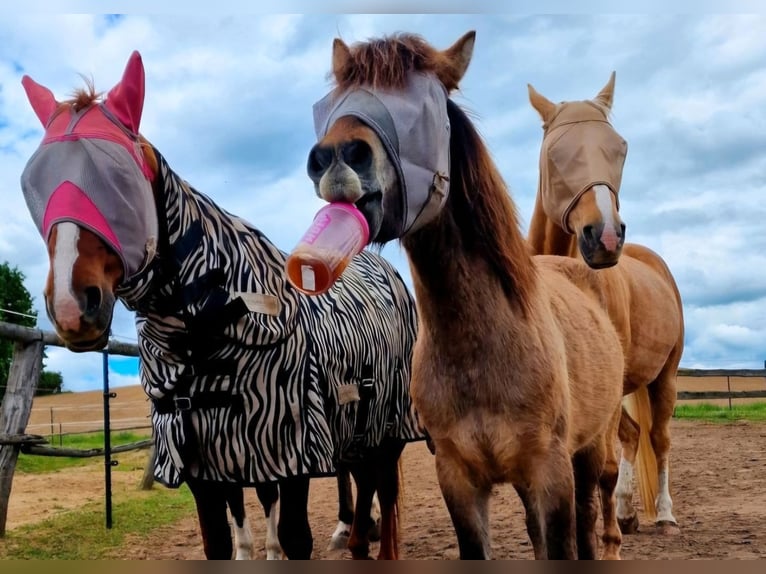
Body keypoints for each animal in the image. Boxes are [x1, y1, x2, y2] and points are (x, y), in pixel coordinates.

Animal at [19, 50, 426, 564]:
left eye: (116, 177)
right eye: (33, 184)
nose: (72, 306)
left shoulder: (289, 449)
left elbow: (293, 534)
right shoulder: (204, 463)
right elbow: (221, 535)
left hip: (387, 423)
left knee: (384, 484)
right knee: (362, 474)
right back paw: (353, 538)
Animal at [306, 31, 632, 564]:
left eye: (424, 104)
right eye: (333, 103)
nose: (336, 157)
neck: (481, 347)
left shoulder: (551, 473)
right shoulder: (458, 480)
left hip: (590, 449)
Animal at [528, 73, 688, 536]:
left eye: (621, 147)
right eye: (554, 152)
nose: (606, 236)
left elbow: (603, 468)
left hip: (664, 377)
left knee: (658, 439)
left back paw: (664, 515)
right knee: (633, 437)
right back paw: (627, 511)